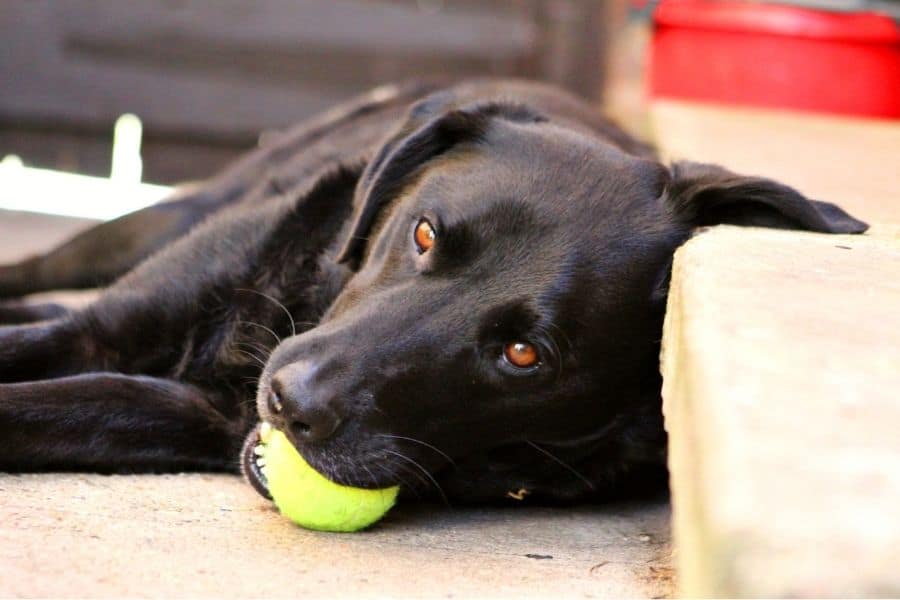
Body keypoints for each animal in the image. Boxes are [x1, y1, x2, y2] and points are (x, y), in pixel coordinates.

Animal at [0, 77, 864, 504]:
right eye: (421, 235)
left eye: (523, 354)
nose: (290, 401)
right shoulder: (103, 334)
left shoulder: (175, 412)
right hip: (158, 222)